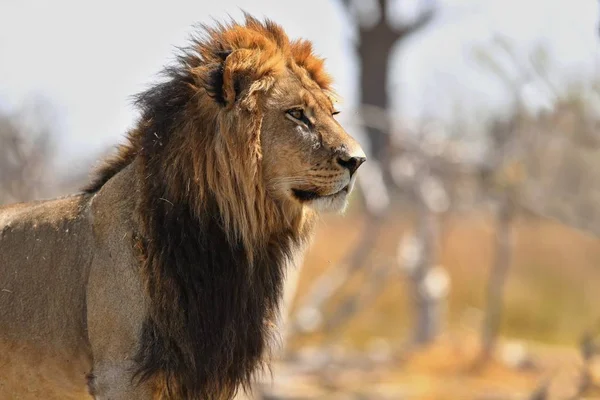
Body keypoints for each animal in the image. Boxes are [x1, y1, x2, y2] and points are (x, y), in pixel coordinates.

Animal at [0, 14, 366, 398]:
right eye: (297, 114)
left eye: (332, 112)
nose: (358, 160)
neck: (227, 244)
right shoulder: (121, 373)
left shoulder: (210, 373)